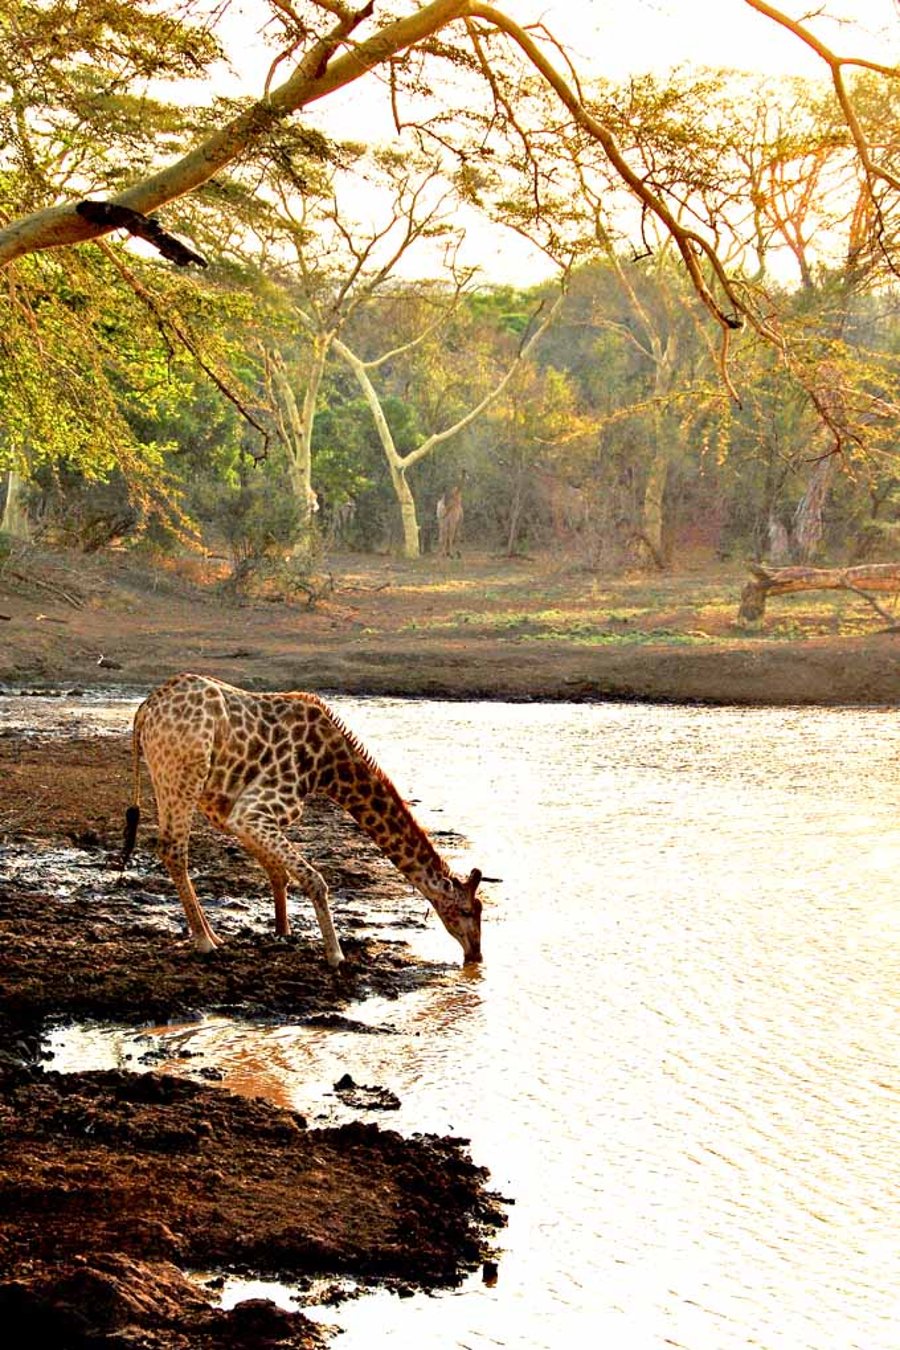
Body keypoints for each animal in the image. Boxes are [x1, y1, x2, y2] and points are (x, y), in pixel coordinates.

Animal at [121, 673, 483, 968]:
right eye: (467, 910)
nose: (476, 955)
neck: (330, 769)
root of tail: (145, 709)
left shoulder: (231, 813)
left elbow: (278, 873)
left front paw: (283, 933)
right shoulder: (253, 811)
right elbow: (315, 879)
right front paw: (335, 954)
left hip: (177, 781)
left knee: (173, 850)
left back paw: (213, 936)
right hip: (184, 775)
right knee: (173, 849)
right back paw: (204, 942)